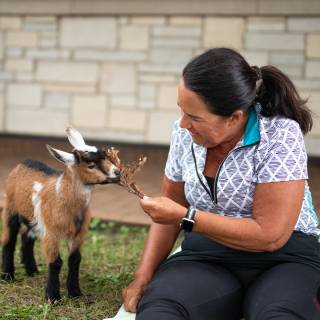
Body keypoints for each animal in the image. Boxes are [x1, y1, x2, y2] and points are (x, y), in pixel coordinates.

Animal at [0, 125, 121, 302]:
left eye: (105, 156)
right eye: (90, 164)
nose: (117, 173)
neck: (63, 198)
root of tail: (24, 162)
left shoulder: (79, 234)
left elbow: (75, 260)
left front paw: (75, 293)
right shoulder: (52, 233)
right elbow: (56, 262)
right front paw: (53, 297)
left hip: (34, 219)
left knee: (26, 236)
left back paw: (32, 270)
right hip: (10, 207)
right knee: (9, 240)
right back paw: (8, 276)